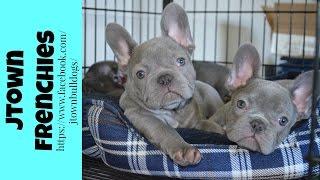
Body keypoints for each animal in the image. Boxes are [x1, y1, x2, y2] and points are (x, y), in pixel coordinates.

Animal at [105, 2, 222, 166]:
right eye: (140, 74)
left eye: (181, 61)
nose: (165, 78)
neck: (172, 111)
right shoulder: (141, 116)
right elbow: (164, 128)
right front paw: (183, 149)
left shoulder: (196, 121)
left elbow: (207, 125)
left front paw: (219, 130)